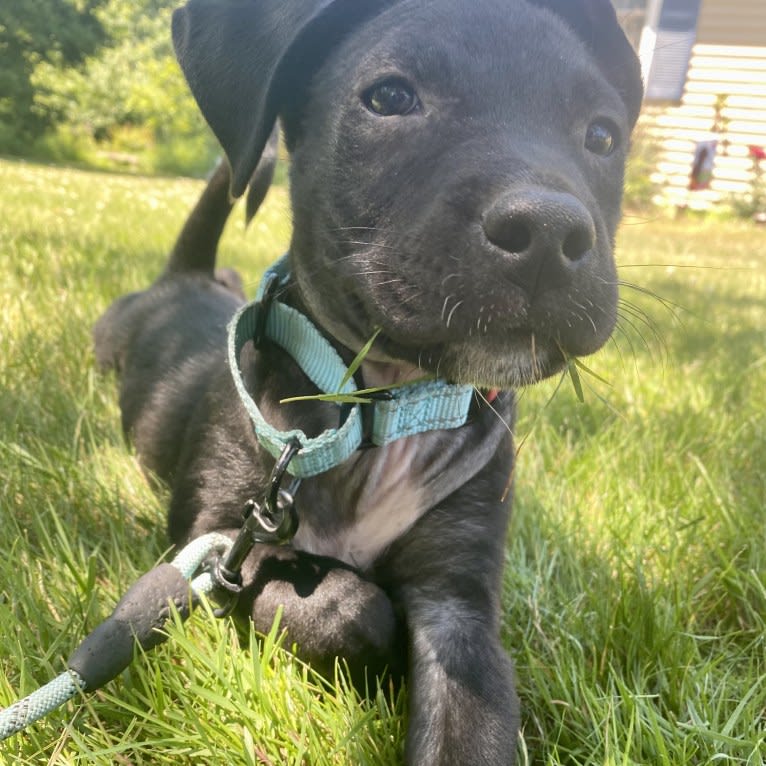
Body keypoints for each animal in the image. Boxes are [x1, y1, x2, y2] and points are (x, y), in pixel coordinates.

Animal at [97, 3, 648, 764]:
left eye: (602, 135)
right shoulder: (212, 546)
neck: (385, 411)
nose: (547, 231)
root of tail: (185, 277)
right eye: (390, 97)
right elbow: (333, 602)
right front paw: (374, 641)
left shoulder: (459, 604)